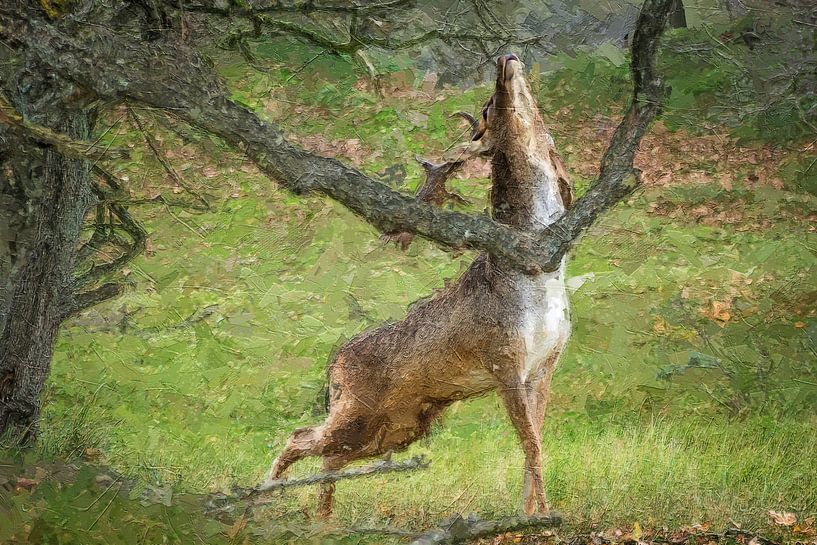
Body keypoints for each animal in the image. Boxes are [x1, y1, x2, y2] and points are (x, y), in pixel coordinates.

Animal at [263, 53, 574, 519]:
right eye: (488, 109)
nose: (505, 59)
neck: (540, 277)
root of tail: (333, 365)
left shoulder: (544, 364)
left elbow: (533, 446)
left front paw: (529, 514)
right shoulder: (504, 360)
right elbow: (532, 445)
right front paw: (543, 517)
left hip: (393, 427)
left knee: (328, 455)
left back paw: (322, 521)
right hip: (358, 413)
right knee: (301, 437)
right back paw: (256, 504)